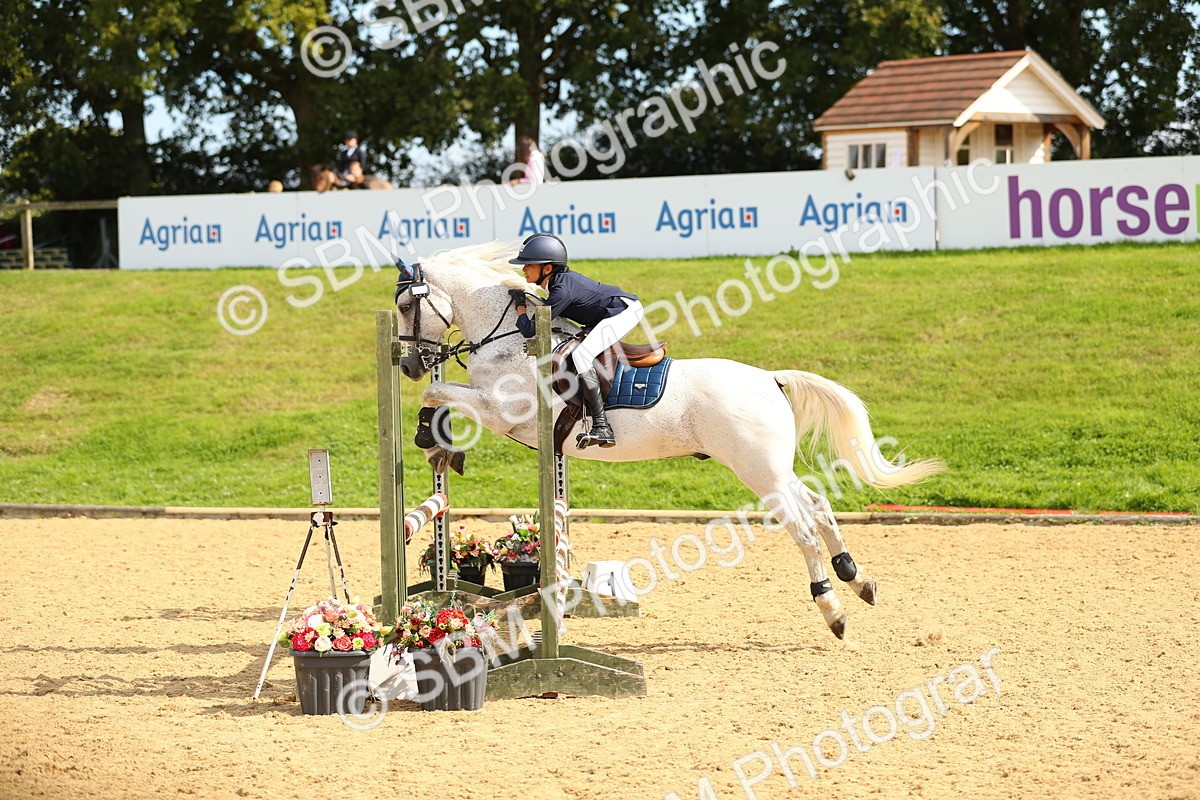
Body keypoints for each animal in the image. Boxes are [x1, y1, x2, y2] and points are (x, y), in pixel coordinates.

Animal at [392, 242, 944, 638]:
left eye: (402, 305)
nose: (408, 364)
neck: (508, 338)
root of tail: (769, 378)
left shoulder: (501, 413)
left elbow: (438, 392)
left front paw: (429, 436)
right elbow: (440, 393)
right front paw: (437, 444)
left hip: (758, 472)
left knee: (804, 530)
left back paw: (832, 608)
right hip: (773, 468)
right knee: (821, 507)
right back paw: (858, 579)